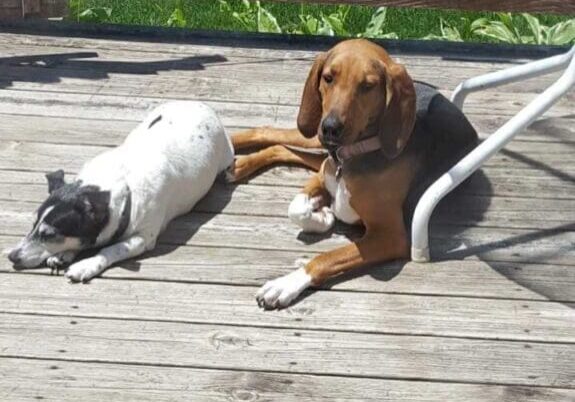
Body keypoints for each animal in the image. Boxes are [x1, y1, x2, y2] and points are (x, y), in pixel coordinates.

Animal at [6, 100, 232, 282]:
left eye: (50, 234)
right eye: (32, 224)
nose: (11, 256)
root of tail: (199, 104)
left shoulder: (144, 239)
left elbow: (112, 249)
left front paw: (84, 266)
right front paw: (64, 254)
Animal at [230, 39, 476, 310]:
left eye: (367, 86)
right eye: (328, 78)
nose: (331, 128)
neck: (350, 158)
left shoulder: (391, 237)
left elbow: (327, 256)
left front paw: (287, 283)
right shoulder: (325, 173)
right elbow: (296, 207)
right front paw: (320, 215)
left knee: (281, 147)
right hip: (313, 134)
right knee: (270, 133)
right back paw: (233, 146)